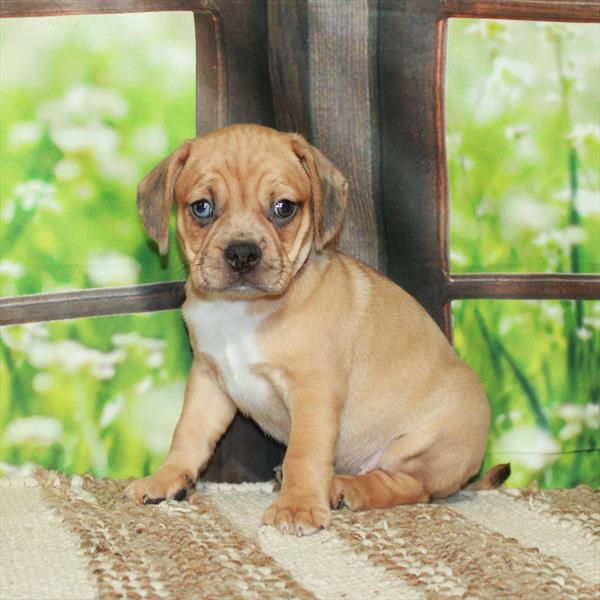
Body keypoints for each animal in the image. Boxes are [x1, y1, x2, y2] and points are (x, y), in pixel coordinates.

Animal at [124, 124, 494, 536]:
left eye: (284, 208)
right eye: (202, 208)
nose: (242, 253)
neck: (240, 311)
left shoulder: (313, 392)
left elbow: (305, 452)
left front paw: (298, 505)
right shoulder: (208, 381)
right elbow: (188, 433)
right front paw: (166, 478)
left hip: (420, 446)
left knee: (409, 486)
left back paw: (343, 488)